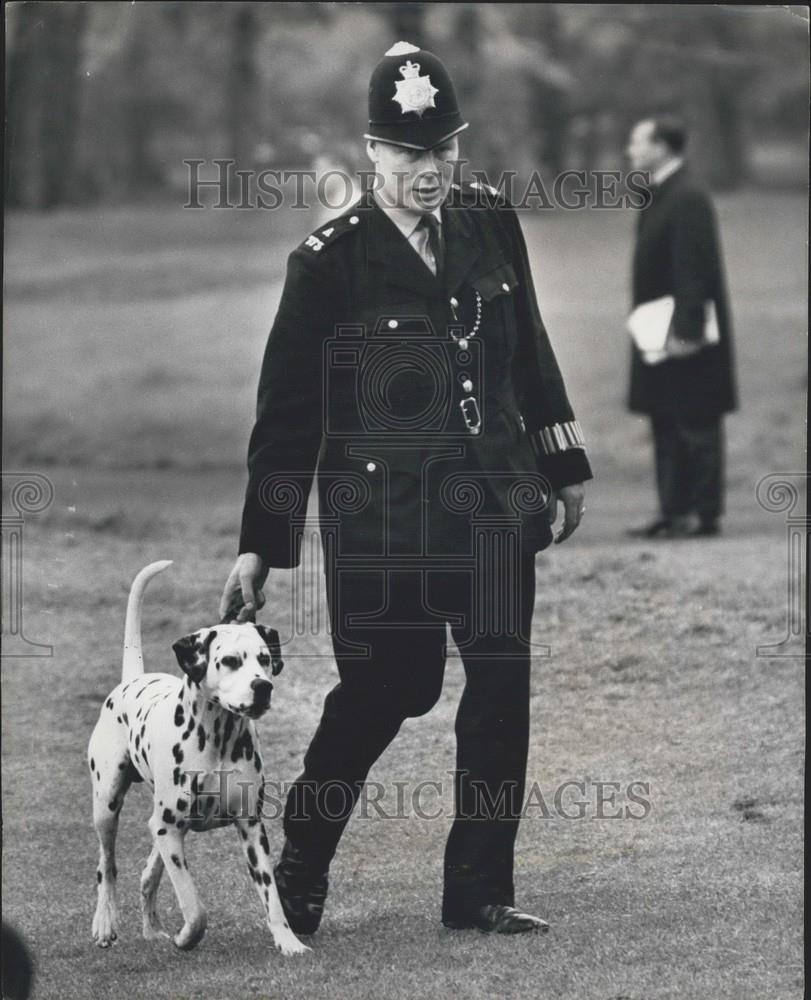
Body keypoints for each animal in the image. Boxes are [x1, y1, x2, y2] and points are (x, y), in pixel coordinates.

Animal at [86, 560, 308, 956]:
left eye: (265, 659)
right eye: (230, 661)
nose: (263, 687)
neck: (217, 739)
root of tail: (132, 679)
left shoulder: (251, 828)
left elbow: (272, 898)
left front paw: (288, 942)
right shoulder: (169, 829)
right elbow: (194, 904)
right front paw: (188, 936)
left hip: (160, 824)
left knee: (148, 873)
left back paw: (151, 928)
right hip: (108, 806)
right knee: (107, 865)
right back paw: (105, 922)